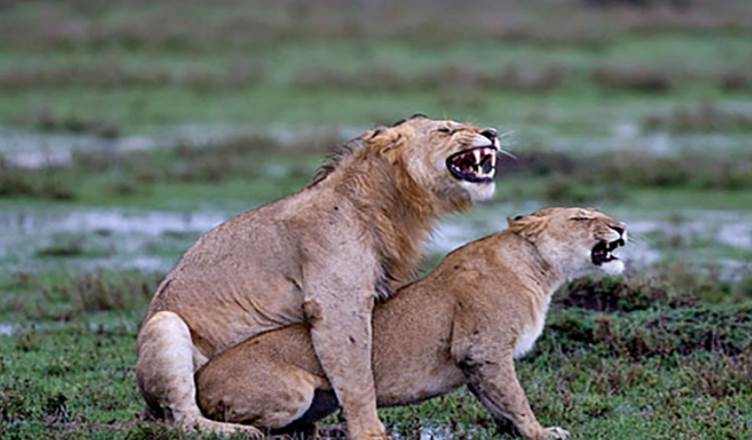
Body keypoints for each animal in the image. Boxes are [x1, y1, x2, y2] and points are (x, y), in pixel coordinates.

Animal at [135, 115, 502, 438]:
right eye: (445, 129)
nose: (492, 133)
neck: (389, 207)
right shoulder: (337, 305)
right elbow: (356, 376)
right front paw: (370, 432)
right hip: (165, 324)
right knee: (182, 418)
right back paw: (237, 430)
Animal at [195, 207, 628, 440]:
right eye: (581, 217)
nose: (622, 228)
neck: (541, 272)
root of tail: (200, 376)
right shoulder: (483, 349)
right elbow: (518, 399)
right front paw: (541, 432)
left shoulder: (476, 363)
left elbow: (500, 402)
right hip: (292, 394)